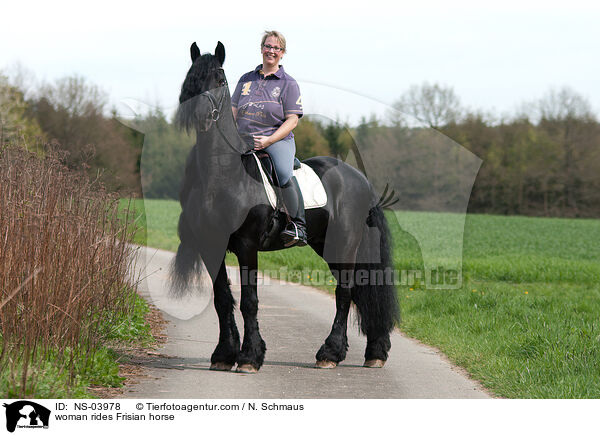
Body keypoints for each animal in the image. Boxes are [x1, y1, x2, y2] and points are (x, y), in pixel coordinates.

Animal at [171, 41, 400, 374]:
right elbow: (222, 299)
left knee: (345, 292)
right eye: (190, 77)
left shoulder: (246, 245)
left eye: (220, 79)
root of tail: (360, 179)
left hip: (344, 244)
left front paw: (250, 357)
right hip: (327, 245)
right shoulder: (210, 245)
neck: (223, 174)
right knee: (358, 290)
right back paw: (374, 351)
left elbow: (250, 301)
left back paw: (330, 353)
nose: (197, 113)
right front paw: (224, 354)